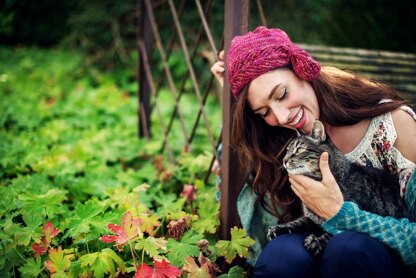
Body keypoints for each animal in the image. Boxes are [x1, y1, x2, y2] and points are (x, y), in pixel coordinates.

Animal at [266, 119, 406, 256]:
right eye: (287, 151)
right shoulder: (313, 217)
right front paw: (279, 228)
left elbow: (334, 230)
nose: (284, 161)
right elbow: (298, 221)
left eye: (299, 149)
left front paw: (316, 241)